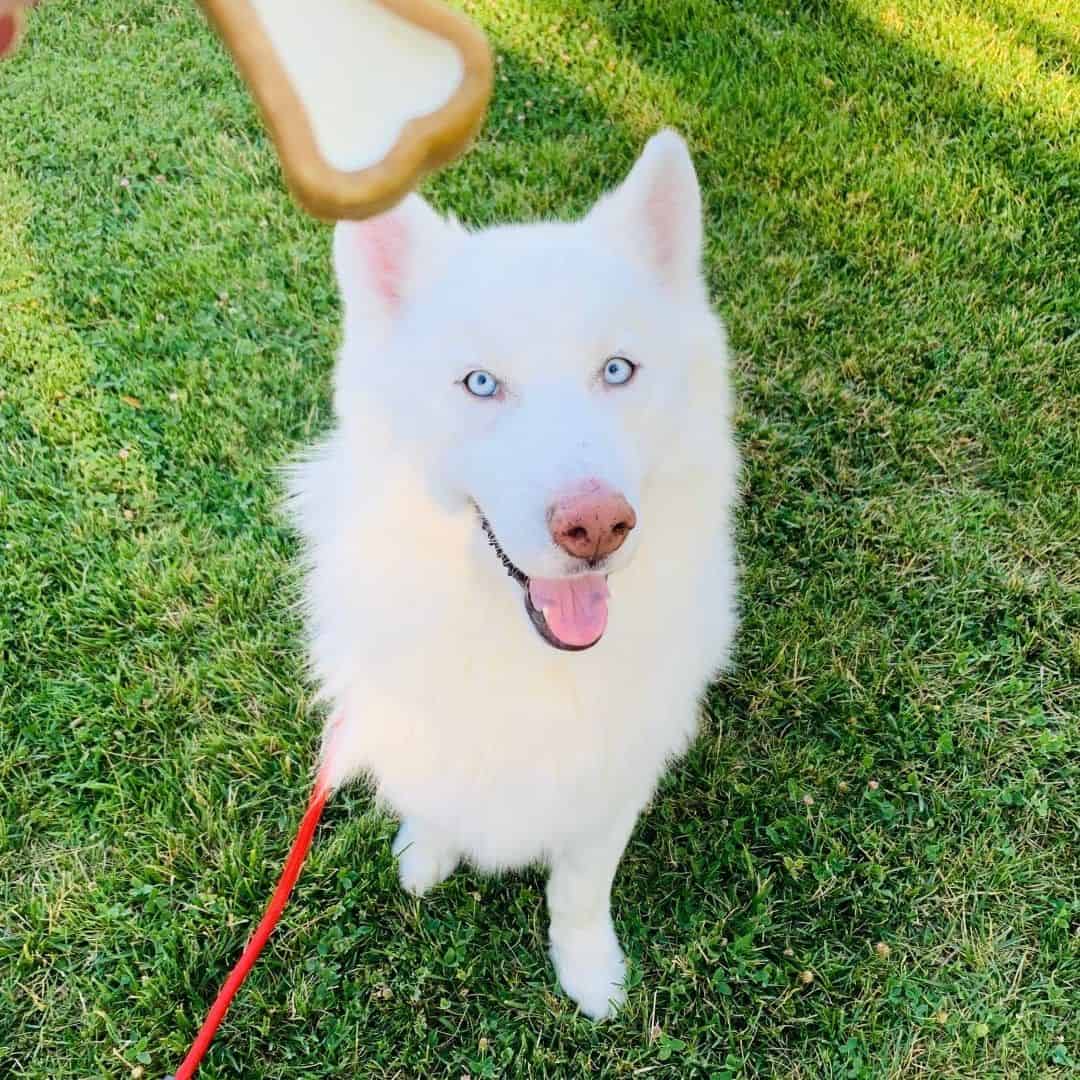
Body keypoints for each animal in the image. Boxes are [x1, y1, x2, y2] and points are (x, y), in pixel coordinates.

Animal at [287, 130, 738, 1015]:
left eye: (618, 370)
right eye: (481, 383)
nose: (596, 525)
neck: (524, 655)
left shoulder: (610, 788)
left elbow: (578, 890)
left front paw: (588, 969)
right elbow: (435, 801)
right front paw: (426, 855)